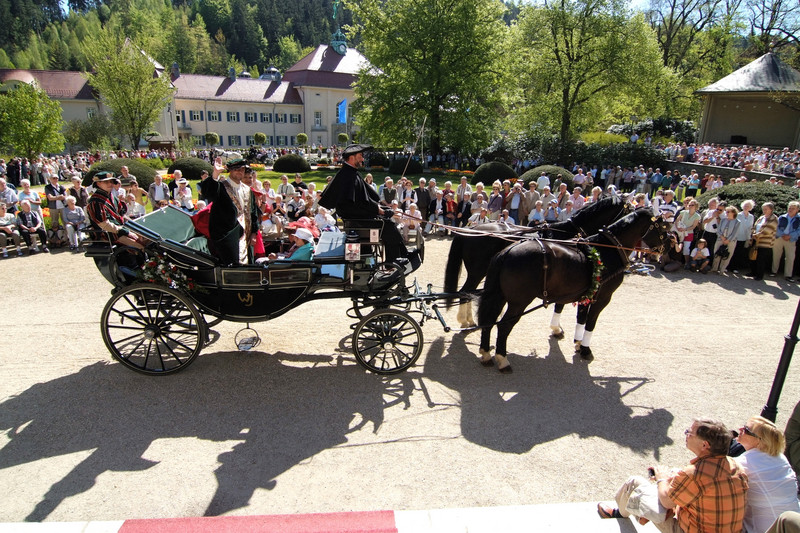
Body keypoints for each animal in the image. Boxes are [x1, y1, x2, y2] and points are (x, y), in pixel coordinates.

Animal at [444, 195, 632, 326]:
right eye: (628, 211)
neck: (566, 232)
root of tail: (469, 230)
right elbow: (560, 304)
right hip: (477, 272)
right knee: (465, 291)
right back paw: (465, 320)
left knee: (467, 292)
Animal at [476, 206, 668, 372]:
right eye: (663, 227)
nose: (668, 246)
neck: (608, 250)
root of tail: (508, 251)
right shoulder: (602, 297)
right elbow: (590, 322)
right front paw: (585, 349)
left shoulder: (583, 294)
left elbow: (579, 318)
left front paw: (577, 341)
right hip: (518, 302)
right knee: (504, 325)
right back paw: (502, 359)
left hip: (500, 295)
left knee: (489, 320)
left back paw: (486, 353)